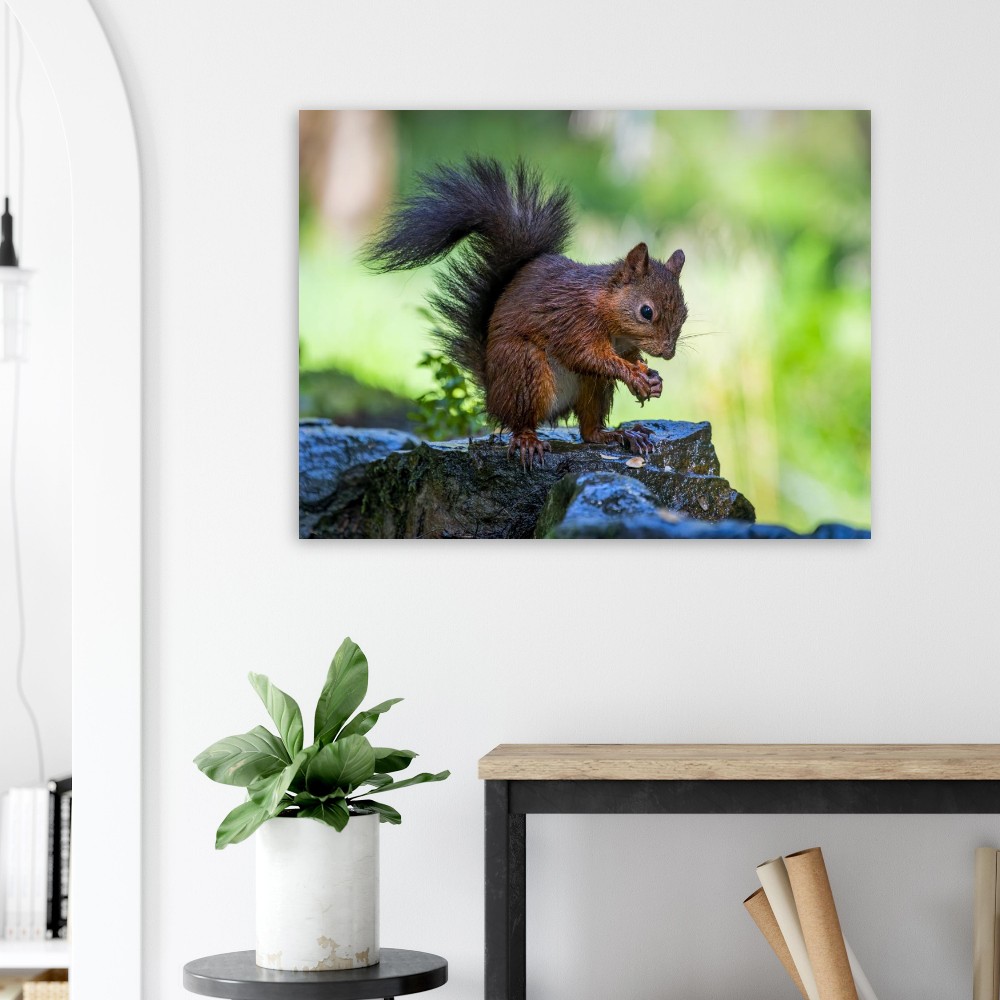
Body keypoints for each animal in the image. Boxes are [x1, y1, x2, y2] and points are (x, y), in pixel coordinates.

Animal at [363, 157, 688, 468]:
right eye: (646, 311)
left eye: (684, 313)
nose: (668, 353)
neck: (608, 312)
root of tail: (493, 394)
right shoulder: (574, 321)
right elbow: (587, 355)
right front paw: (634, 375)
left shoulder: (622, 344)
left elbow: (626, 357)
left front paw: (651, 377)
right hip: (524, 369)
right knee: (521, 421)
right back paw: (529, 440)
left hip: (593, 386)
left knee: (588, 430)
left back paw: (619, 434)